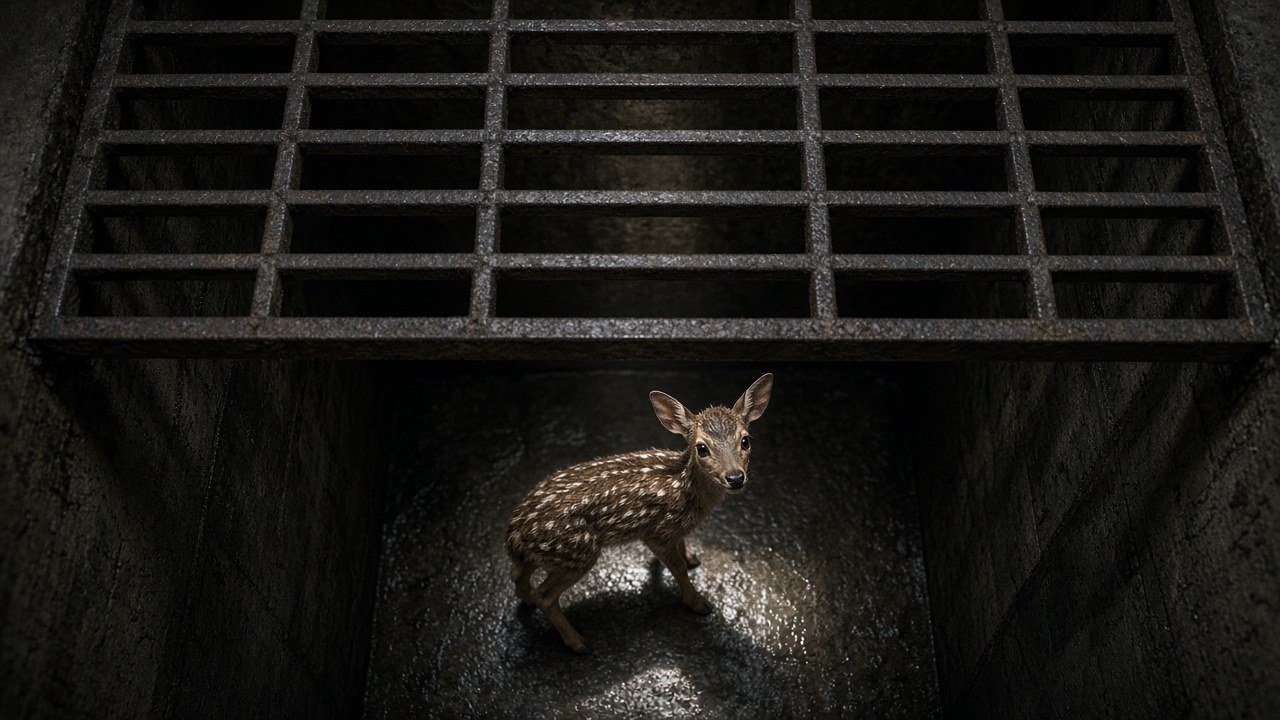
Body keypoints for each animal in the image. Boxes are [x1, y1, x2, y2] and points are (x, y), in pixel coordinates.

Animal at [505, 374, 773, 654]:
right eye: (701, 448)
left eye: (745, 440)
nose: (735, 477)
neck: (684, 488)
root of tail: (514, 533)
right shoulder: (655, 532)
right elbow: (677, 568)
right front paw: (697, 602)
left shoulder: (674, 530)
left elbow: (682, 550)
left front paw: (692, 558)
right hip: (577, 551)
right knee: (544, 596)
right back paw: (578, 643)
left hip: (546, 555)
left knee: (518, 576)